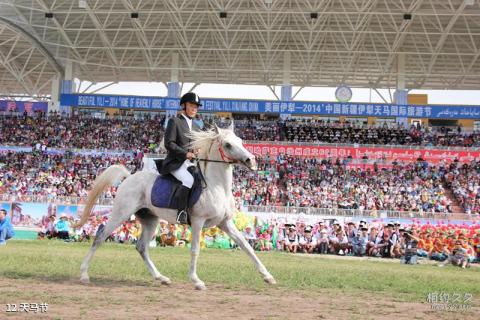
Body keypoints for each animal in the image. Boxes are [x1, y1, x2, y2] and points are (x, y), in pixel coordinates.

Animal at [76, 122, 276, 290]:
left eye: (240, 141)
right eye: (227, 145)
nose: (251, 160)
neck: (217, 187)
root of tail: (128, 177)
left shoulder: (225, 223)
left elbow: (246, 246)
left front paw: (268, 276)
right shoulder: (198, 221)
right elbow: (195, 250)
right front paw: (196, 281)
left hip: (150, 219)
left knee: (141, 247)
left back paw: (161, 278)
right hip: (121, 213)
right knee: (100, 237)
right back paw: (84, 274)